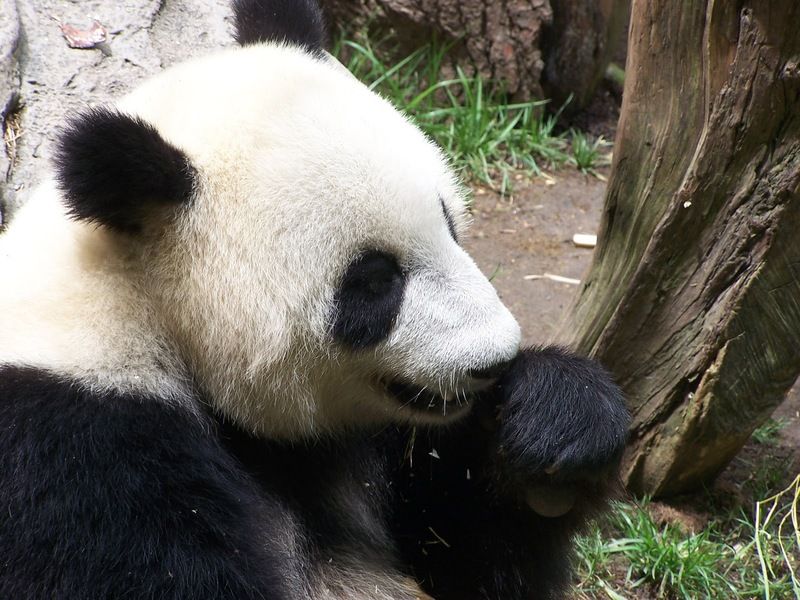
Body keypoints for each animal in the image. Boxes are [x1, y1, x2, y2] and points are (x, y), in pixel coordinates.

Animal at [0, 1, 628, 600]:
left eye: (450, 223)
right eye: (374, 282)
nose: (494, 359)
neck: (140, 300)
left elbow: (462, 545)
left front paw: (555, 421)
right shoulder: (79, 444)